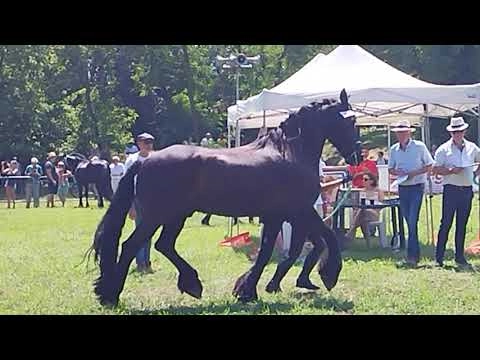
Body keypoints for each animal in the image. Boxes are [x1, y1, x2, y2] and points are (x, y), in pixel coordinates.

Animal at [91, 89, 360, 306]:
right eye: (350, 120)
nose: (356, 155)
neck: (289, 152)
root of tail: (145, 161)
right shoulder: (297, 211)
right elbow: (321, 240)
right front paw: (329, 275)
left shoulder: (287, 214)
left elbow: (294, 248)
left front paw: (258, 288)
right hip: (157, 216)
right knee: (132, 246)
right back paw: (111, 296)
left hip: (175, 217)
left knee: (163, 245)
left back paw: (190, 284)